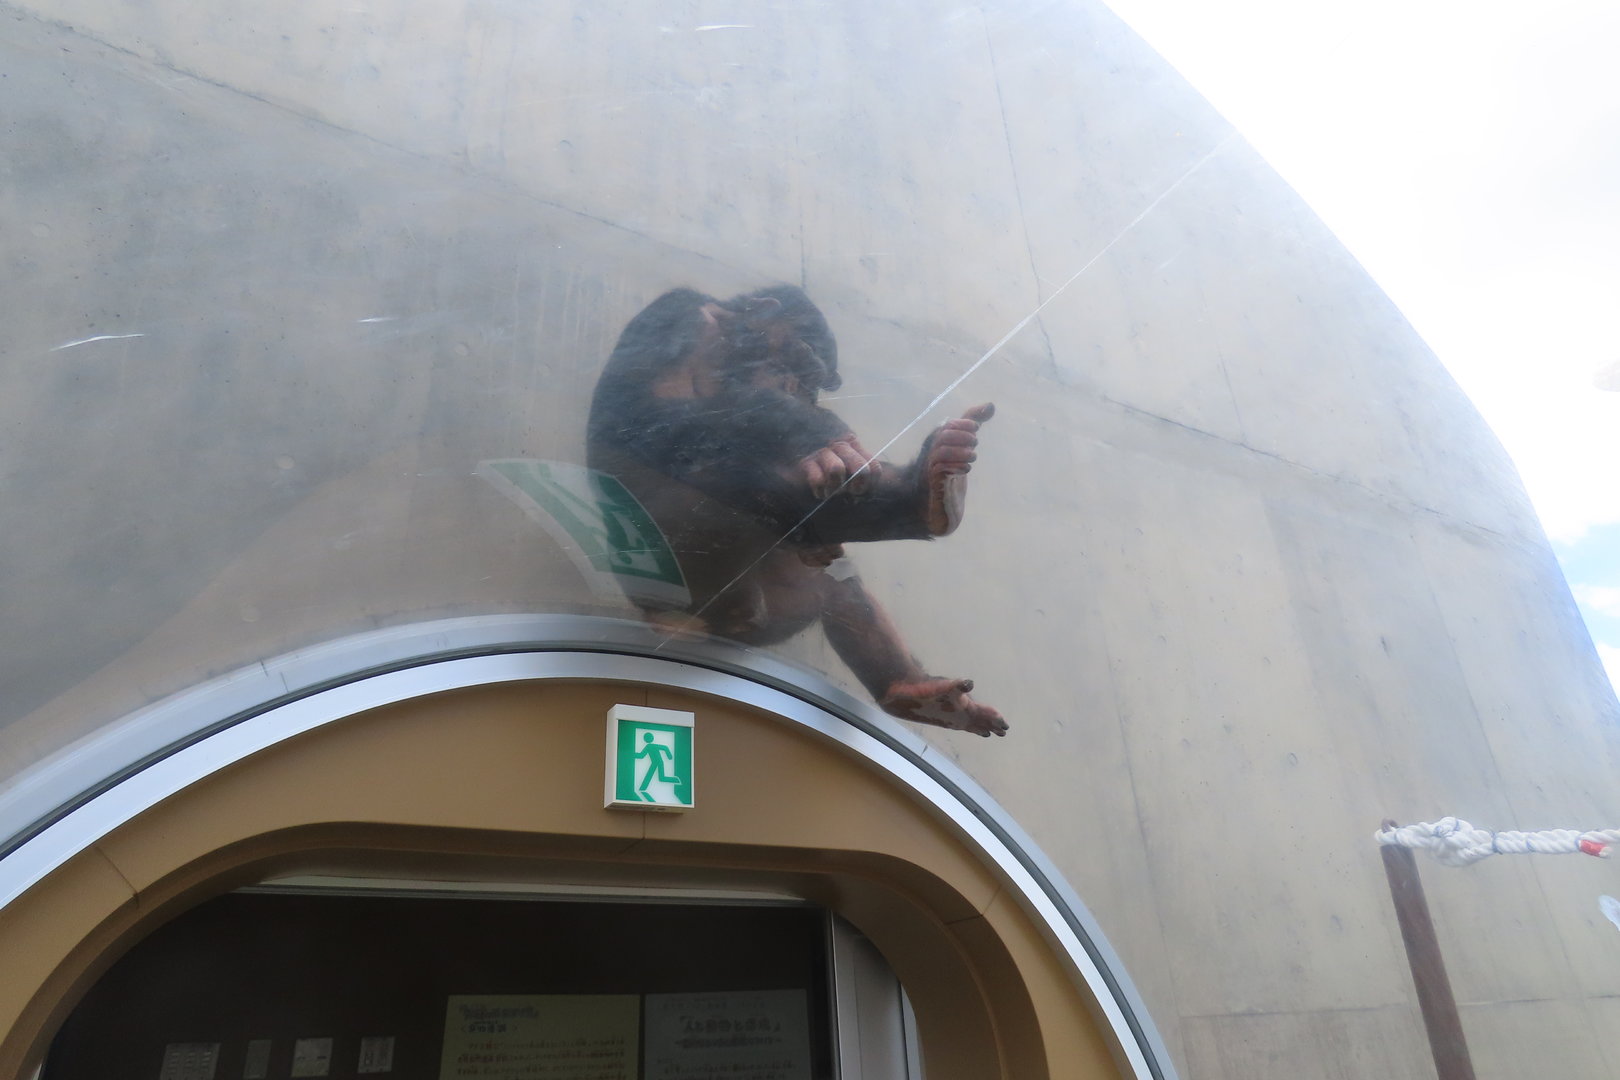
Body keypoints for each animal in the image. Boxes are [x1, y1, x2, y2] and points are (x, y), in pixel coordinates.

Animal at [587, 285, 1007, 737]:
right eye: (802, 361)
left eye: (812, 382)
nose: (797, 389)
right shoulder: (681, 319)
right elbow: (657, 409)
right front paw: (818, 431)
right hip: (679, 570)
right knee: (713, 470)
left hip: (782, 609)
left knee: (834, 584)